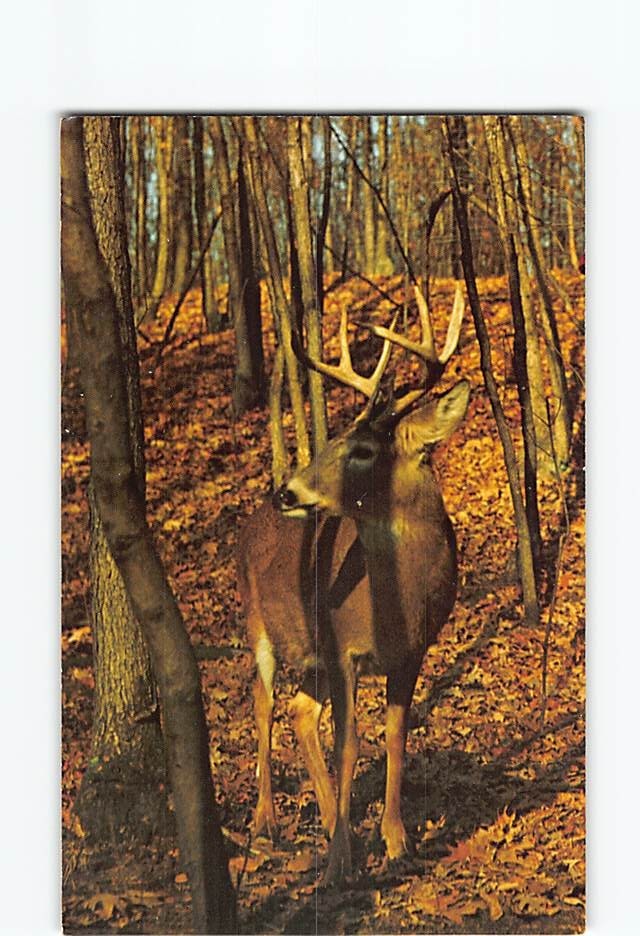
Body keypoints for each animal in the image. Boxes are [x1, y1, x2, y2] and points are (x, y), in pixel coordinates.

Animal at [236, 284, 469, 885]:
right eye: (334, 438)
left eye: (362, 450)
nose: (287, 491)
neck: (396, 603)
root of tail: (250, 521)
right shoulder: (344, 649)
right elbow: (349, 744)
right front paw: (342, 860)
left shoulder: (410, 653)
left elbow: (393, 738)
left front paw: (394, 840)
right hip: (258, 623)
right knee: (263, 702)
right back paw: (266, 820)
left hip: (310, 650)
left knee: (299, 710)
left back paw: (322, 814)